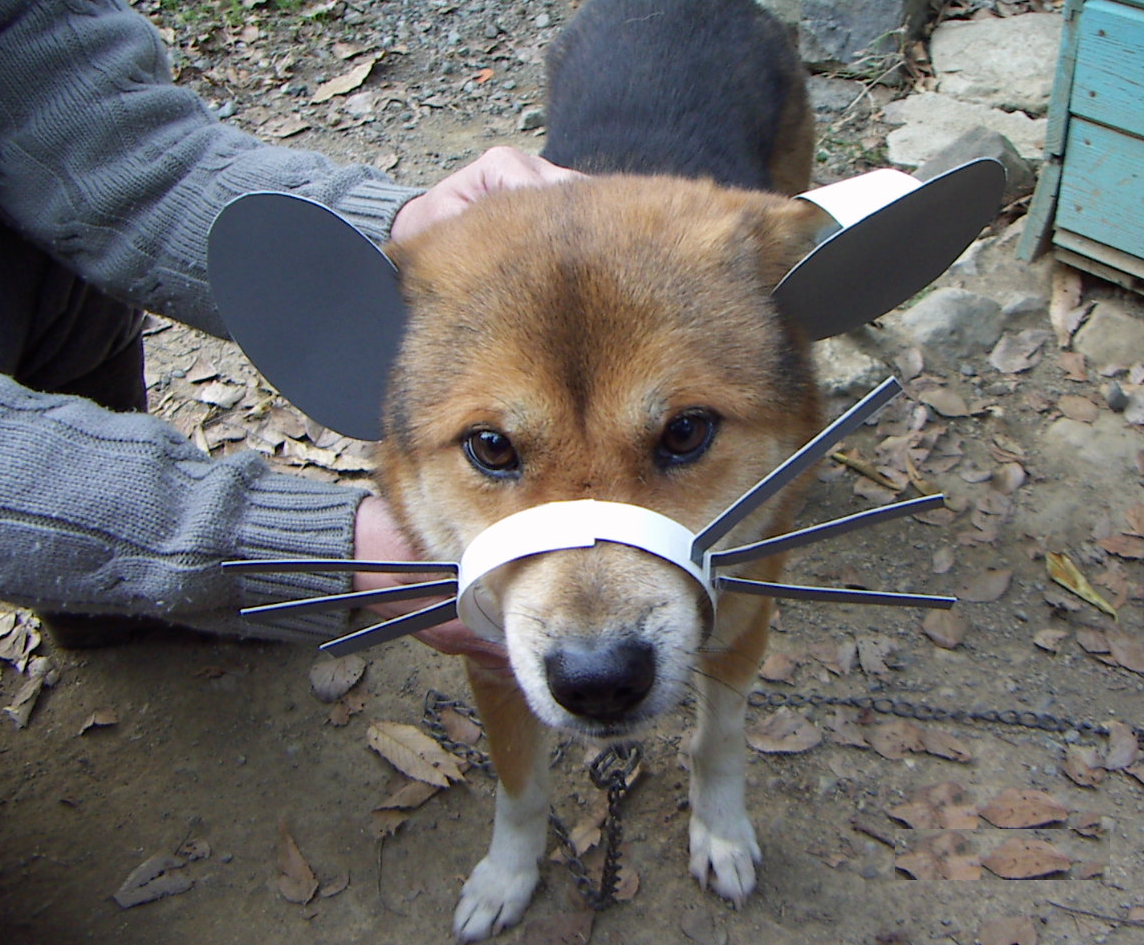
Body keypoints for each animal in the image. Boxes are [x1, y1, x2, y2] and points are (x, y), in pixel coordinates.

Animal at [379, 0, 828, 933]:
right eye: (490, 447)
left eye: (687, 431)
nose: (598, 682)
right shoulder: (490, 656)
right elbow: (518, 788)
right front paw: (506, 874)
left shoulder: (744, 613)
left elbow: (719, 739)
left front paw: (720, 831)